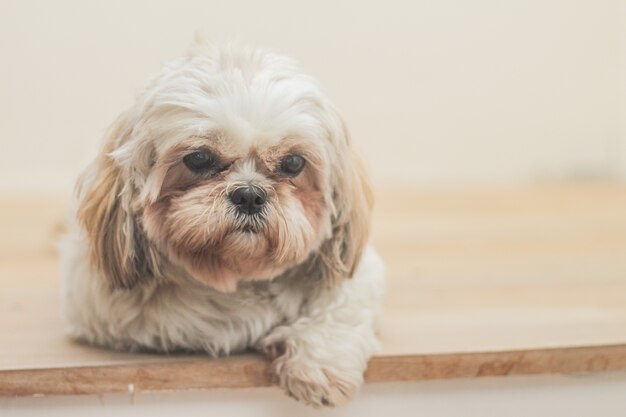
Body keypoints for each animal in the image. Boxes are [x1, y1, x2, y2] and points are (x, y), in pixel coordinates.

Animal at [61, 43, 382, 406]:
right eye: (199, 158)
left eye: (293, 162)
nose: (250, 195)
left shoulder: (357, 276)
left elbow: (340, 309)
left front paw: (318, 366)